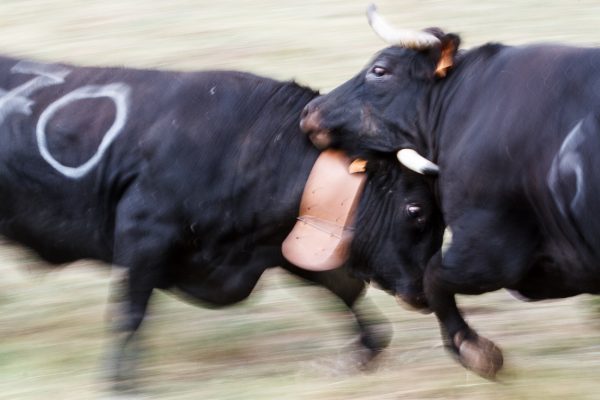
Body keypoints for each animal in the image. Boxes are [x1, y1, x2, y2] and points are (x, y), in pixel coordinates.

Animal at [0, 54, 440, 388]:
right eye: (415, 209)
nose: (425, 293)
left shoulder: (289, 246)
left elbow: (343, 290)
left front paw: (366, 353)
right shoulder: (143, 235)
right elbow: (130, 314)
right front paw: (122, 383)